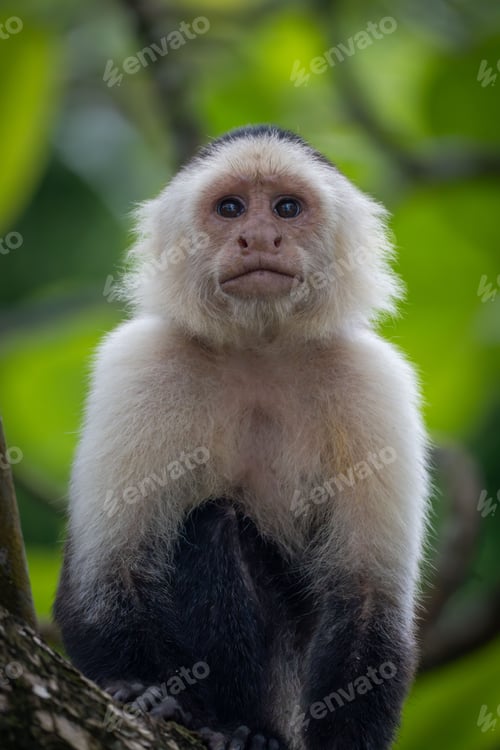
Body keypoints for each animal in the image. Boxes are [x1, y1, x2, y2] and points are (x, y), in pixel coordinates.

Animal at [54, 125, 429, 750]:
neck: (260, 350)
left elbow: (367, 599)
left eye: (286, 208)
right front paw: (139, 688)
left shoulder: (375, 382)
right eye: (230, 209)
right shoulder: (142, 363)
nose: (259, 237)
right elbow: (109, 571)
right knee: (214, 522)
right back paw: (229, 722)